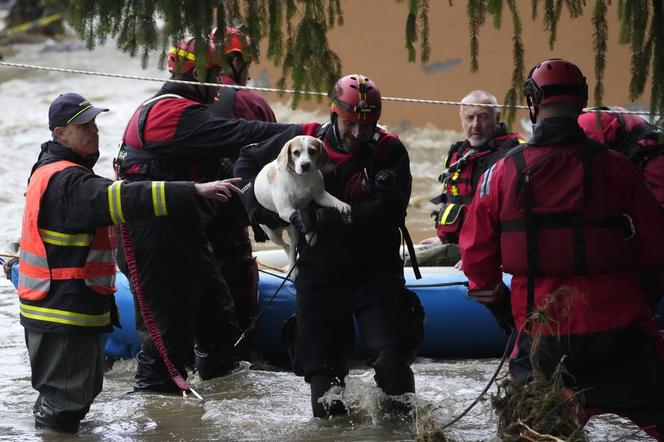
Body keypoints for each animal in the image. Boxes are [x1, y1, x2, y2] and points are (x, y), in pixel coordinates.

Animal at [253, 135, 352, 280]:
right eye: (296, 153)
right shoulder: (286, 210)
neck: (301, 178)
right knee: (287, 248)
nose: (305, 165)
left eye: (312, 151)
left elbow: (331, 201)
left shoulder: (320, 196)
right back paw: (292, 270)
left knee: (291, 247)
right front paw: (310, 233)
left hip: (292, 230)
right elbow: (302, 218)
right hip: (273, 234)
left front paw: (342, 205)